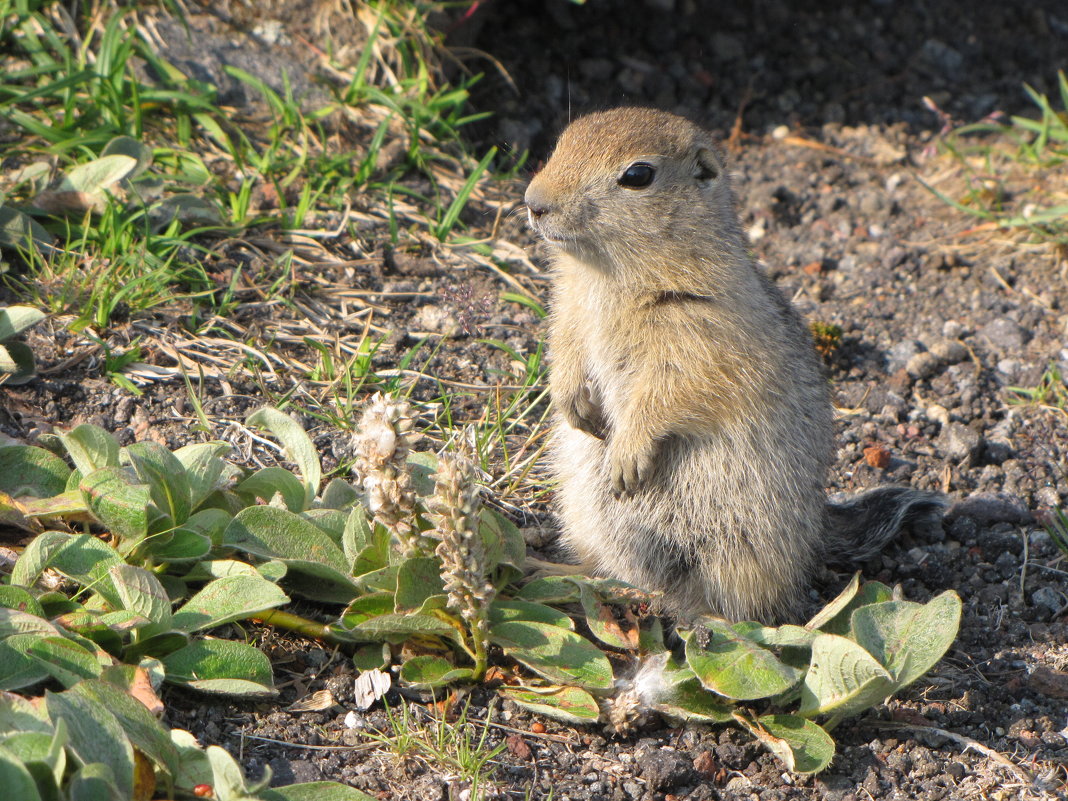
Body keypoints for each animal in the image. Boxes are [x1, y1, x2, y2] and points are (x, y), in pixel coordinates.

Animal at [525, 108, 944, 619]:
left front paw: (627, 456)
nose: (533, 203)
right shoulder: (568, 311)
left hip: (735, 550)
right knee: (616, 569)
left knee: (717, 603)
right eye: (563, 141)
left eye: (638, 175)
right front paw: (573, 406)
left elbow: (673, 390)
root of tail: (817, 534)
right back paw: (550, 569)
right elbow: (564, 351)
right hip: (588, 518)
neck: (604, 275)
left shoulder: (703, 334)